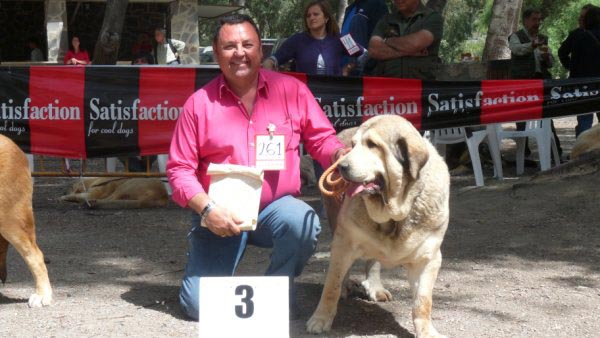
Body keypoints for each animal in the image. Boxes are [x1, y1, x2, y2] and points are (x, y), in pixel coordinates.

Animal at [310, 115, 450, 336]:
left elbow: (423, 301)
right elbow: (331, 286)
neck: (396, 214)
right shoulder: (344, 242)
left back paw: (375, 288)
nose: (341, 166)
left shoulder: (428, 258)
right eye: (353, 146)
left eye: (372, 145)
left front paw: (426, 331)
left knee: (373, 261)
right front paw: (320, 319)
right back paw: (346, 287)